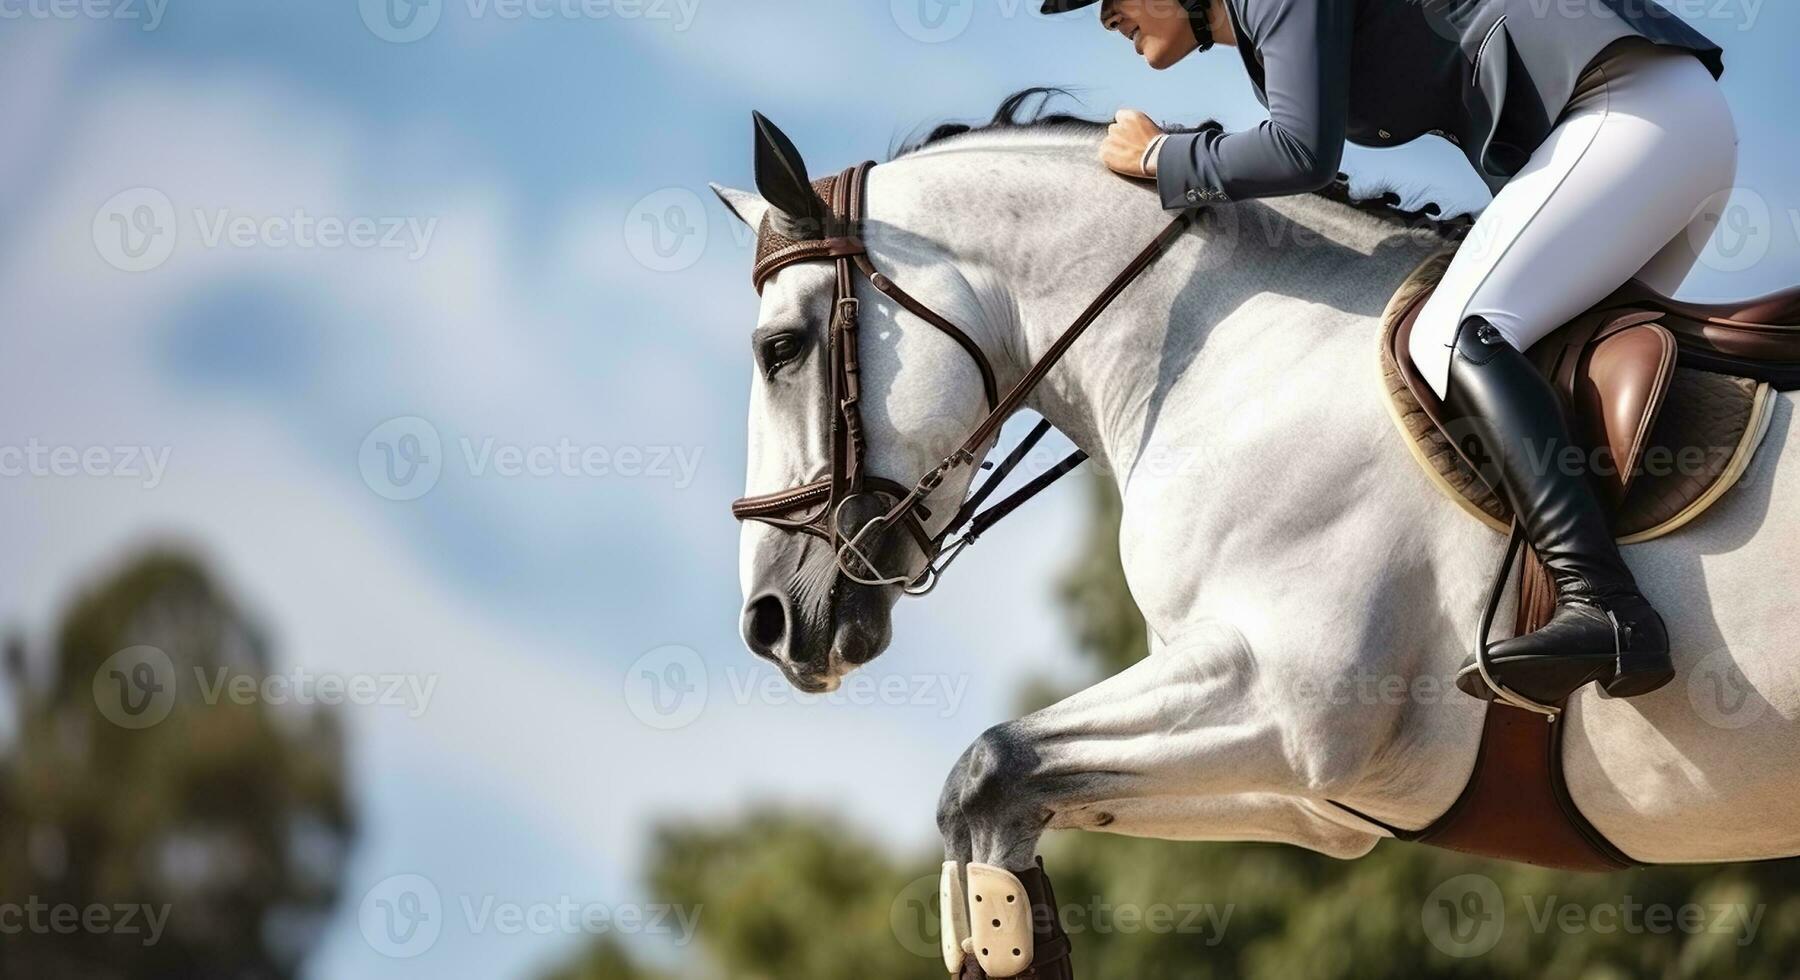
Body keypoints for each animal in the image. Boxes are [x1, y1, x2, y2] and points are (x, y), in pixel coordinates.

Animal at [709, 99, 1792, 972]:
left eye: (780, 349)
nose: (769, 621)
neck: (1243, 349)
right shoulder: (1315, 797)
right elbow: (998, 834)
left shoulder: (1290, 707)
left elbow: (987, 773)